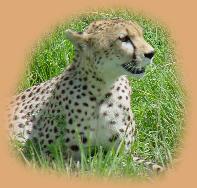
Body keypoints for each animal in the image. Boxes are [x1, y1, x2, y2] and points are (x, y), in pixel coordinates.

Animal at [7, 19, 164, 173]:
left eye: (141, 34)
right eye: (124, 38)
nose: (151, 53)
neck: (102, 90)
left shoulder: (122, 155)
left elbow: (153, 166)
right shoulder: (45, 153)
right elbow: (80, 168)